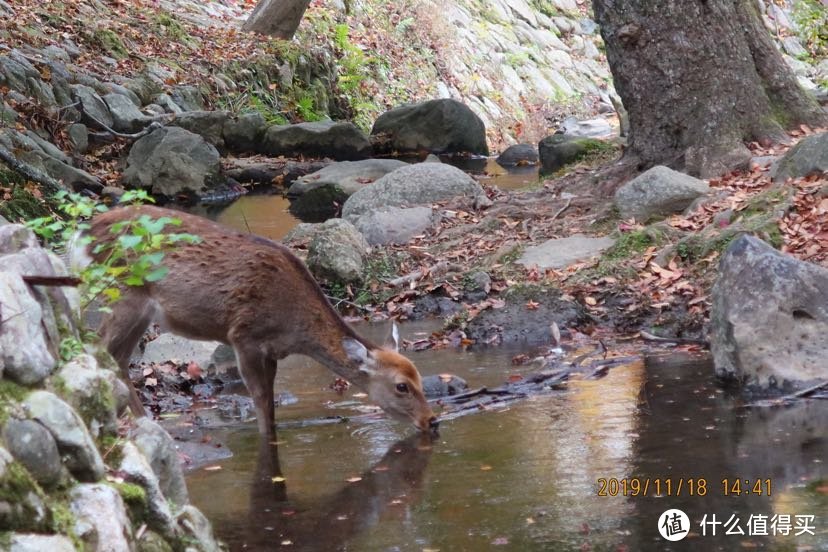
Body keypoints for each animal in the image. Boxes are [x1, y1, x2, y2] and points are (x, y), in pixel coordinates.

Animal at [76, 204, 440, 436]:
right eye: (402, 386)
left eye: (420, 378)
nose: (432, 420)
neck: (293, 325)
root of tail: (82, 236)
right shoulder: (244, 335)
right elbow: (262, 405)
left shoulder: (273, 351)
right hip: (124, 293)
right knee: (98, 346)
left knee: (118, 357)